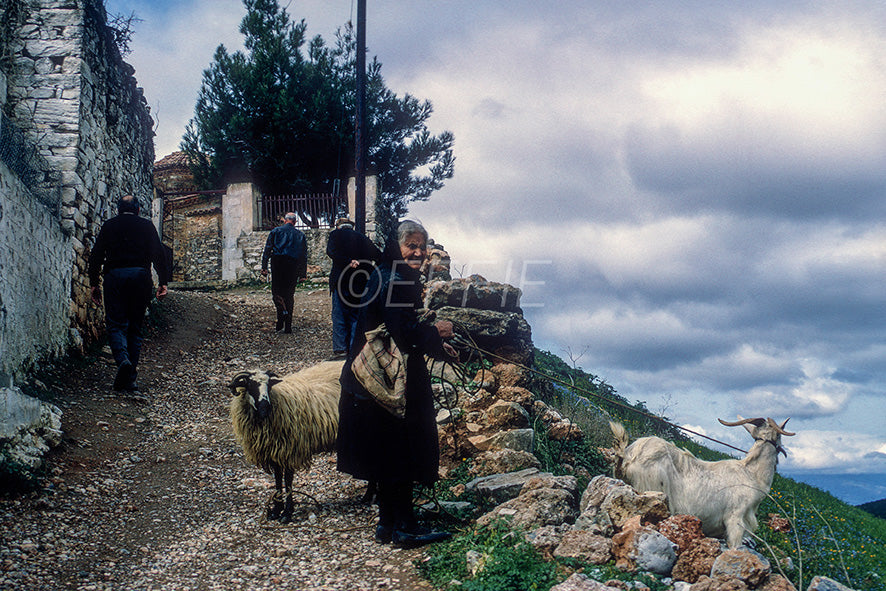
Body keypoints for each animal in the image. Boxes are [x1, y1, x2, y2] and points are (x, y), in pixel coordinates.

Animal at [231, 360, 346, 524]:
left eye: (269, 386)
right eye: (250, 385)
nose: (265, 408)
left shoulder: (290, 449)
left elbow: (288, 479)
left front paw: (287, 512)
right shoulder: (274, 451)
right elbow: (278, 478)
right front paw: (276, 510)